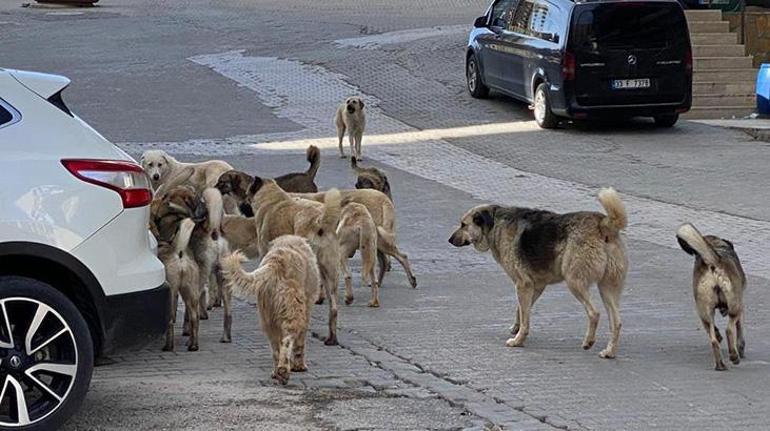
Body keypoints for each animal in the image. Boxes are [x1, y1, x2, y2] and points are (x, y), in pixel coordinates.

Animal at [158, 218, 201, 352]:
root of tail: (179, 254)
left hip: (172, 293)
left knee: (170, 320)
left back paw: (168, 346)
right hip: (190, 293)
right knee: (194, 318)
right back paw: (193, 345)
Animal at [220, 235, 320, 386]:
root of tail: (275, 263)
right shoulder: (307, 308)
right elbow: (300, 343)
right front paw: (299, 366)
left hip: (268, 318)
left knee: (275, 348)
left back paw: (276, 372)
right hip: (293, 311)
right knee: (287, 340)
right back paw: (283, 371)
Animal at [448, 187, 628, 360]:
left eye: (463, 225)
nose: (449, 240)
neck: (495, 223)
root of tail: (603, 223)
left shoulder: (523, 284)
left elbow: (525, 317)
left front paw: (518, 341)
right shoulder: (535, 286)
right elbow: (521, 311)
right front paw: (516, 328)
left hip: (575, 282)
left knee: (594, 313)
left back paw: (588, 342)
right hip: (607, 288)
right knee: (617, 322)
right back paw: (609, 352)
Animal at [676, 223, 740, 372]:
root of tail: (713, 262)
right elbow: (740, 330)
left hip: (704, 311)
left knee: (714, 340)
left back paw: (720, 364)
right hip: (735, 306)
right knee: (729, 329)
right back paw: (734, 356)